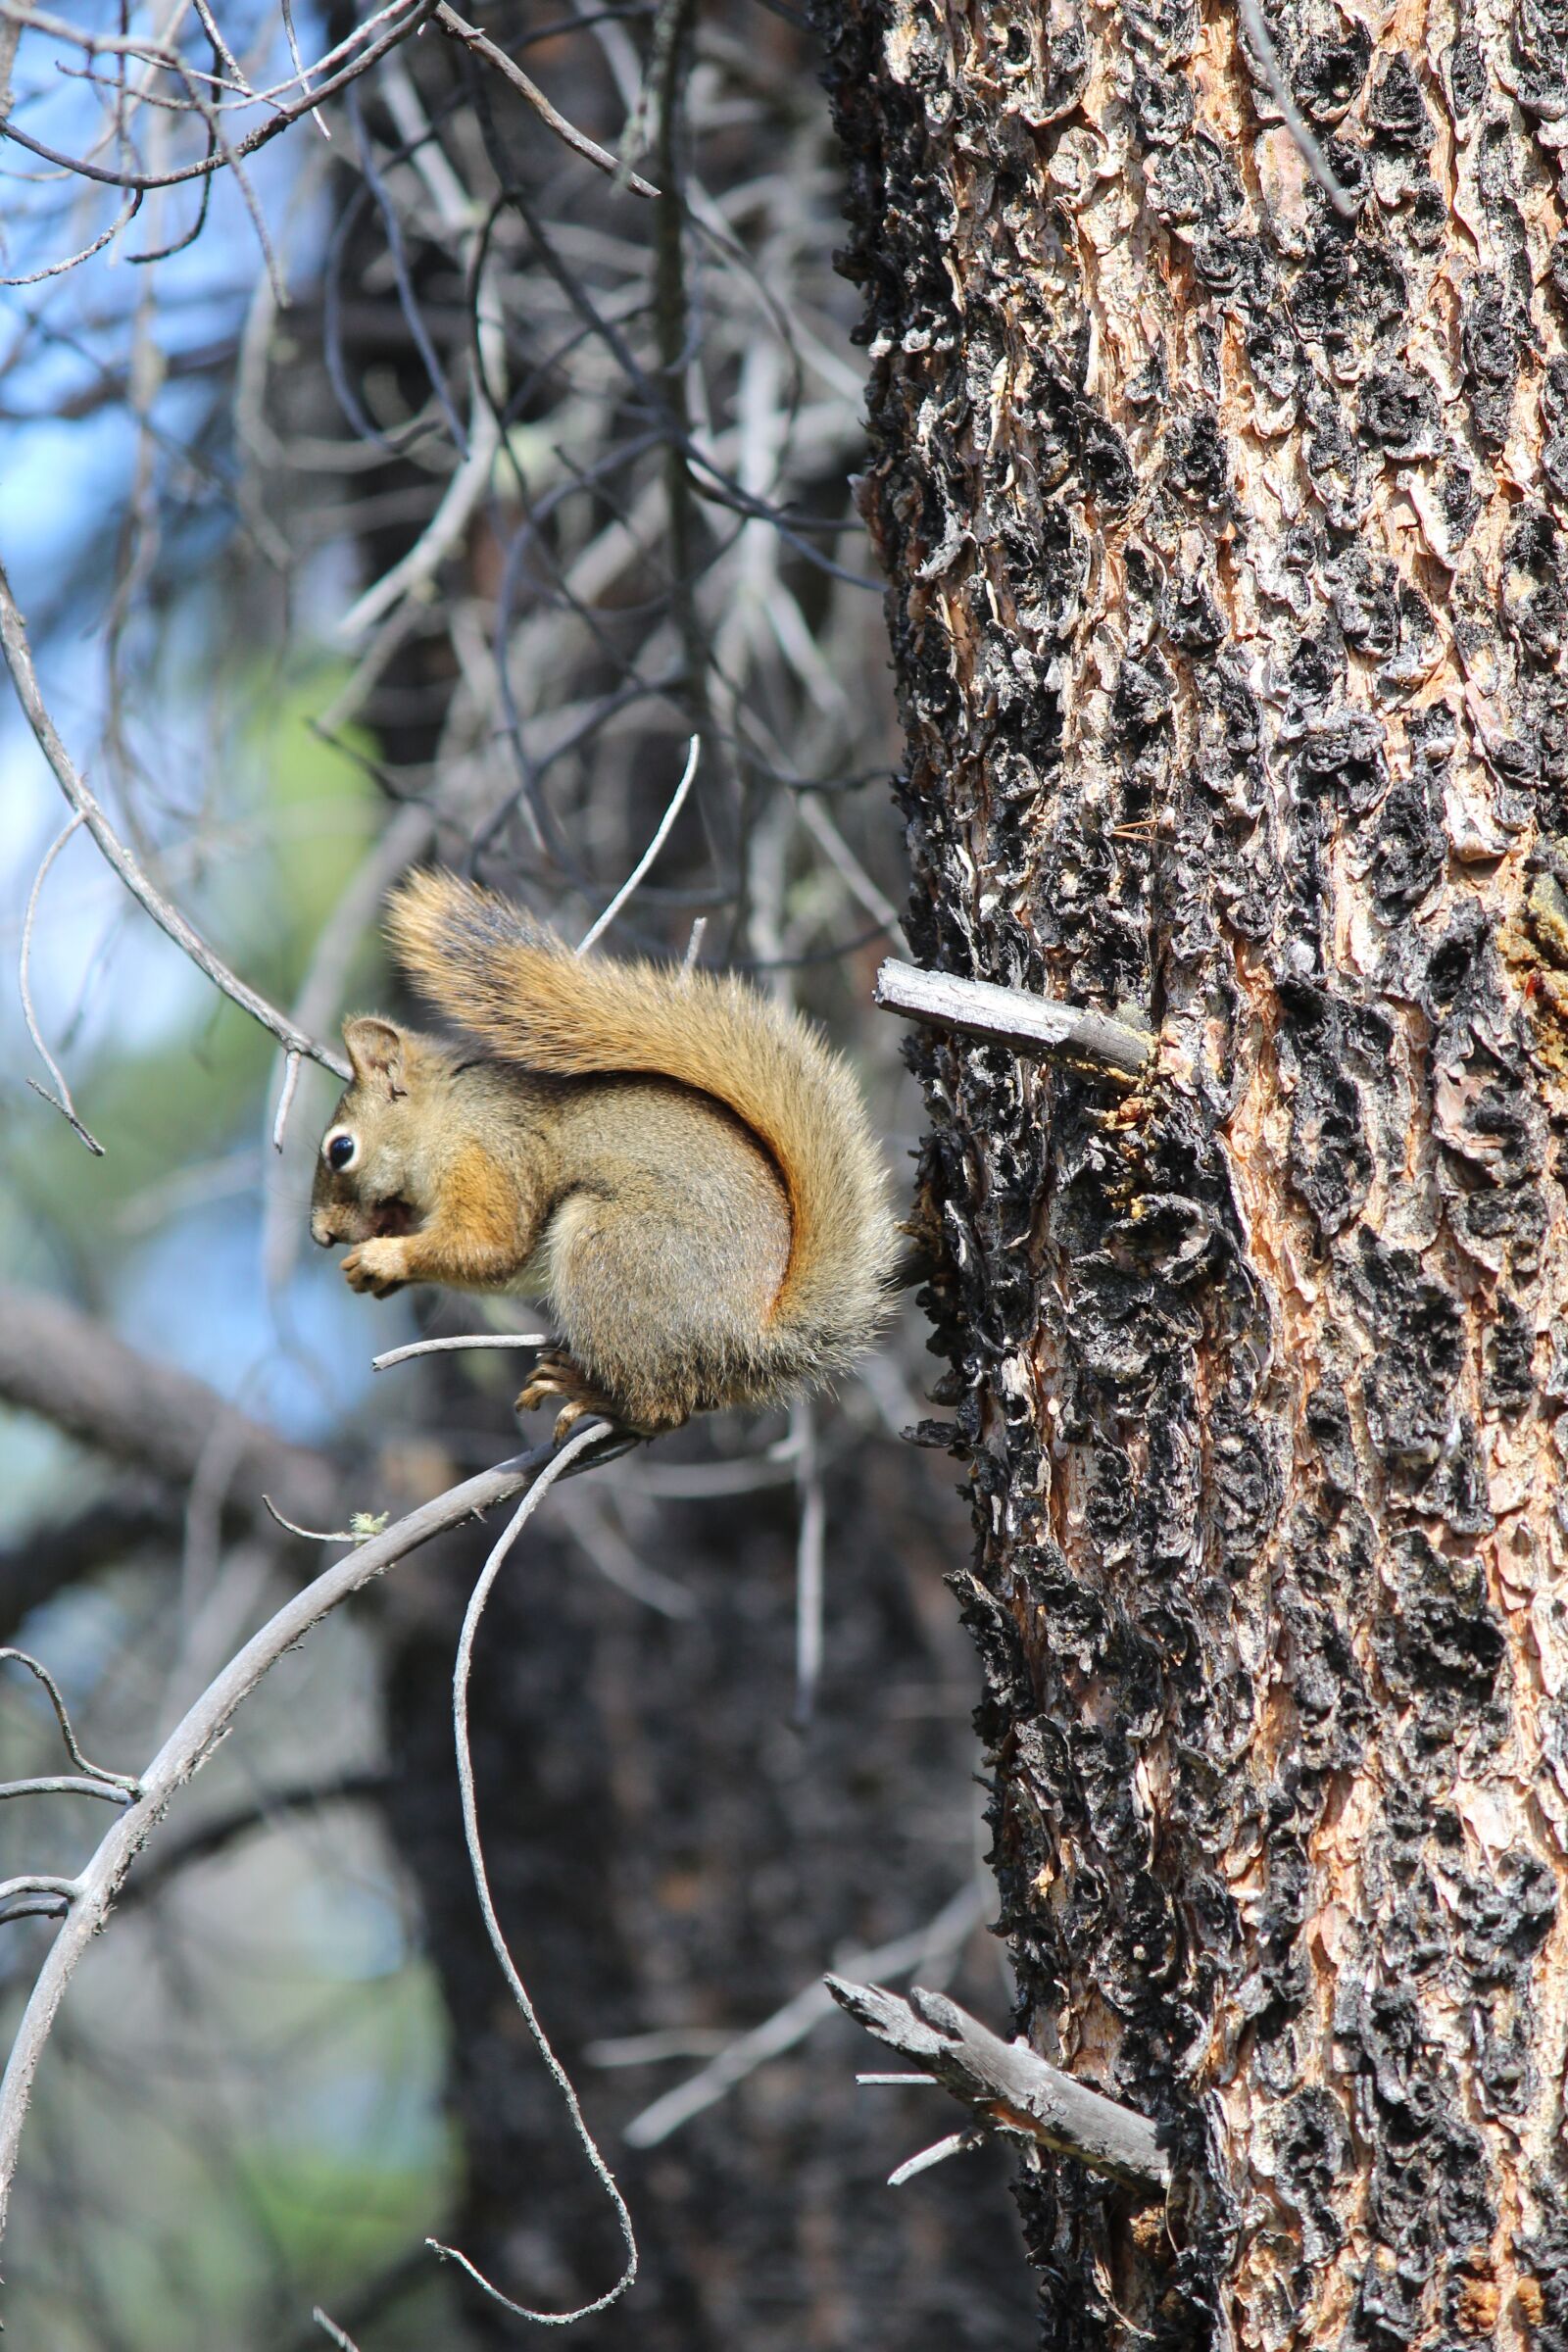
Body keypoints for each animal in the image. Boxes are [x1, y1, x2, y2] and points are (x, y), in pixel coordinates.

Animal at [310, 870, 897, 1437]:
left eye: (342, 1149)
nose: (321, 1234)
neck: (445, 1116)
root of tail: (751, 1337)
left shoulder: (489, 1156)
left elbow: (490, 1246)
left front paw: (385, 1258)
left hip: (615, 1250)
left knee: (661, 1409)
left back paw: (594, 1396)